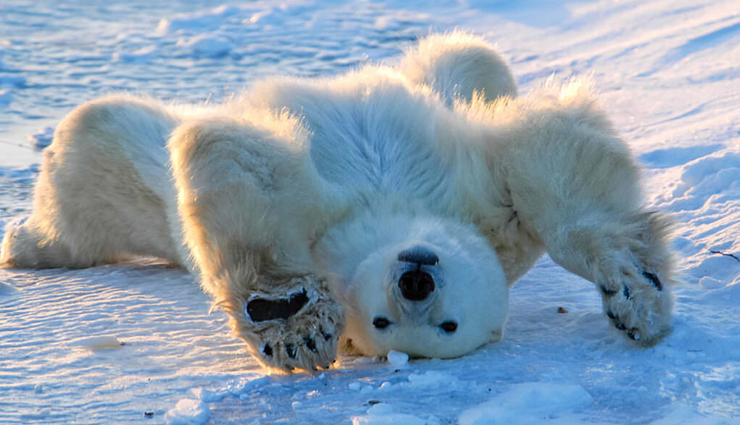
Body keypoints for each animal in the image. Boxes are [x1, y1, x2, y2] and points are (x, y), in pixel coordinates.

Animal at [0, 32, 676, 372]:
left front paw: (634, 291)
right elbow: (238, 164)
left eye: (448, 327)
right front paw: (292, 319)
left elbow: (551, 161)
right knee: (96, 138)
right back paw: (26, 244)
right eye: (379, 321)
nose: (415, 282)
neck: (390, 214)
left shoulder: (489, 218)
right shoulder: (360, 216)